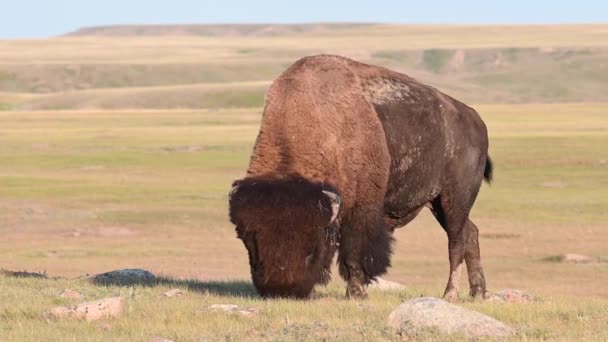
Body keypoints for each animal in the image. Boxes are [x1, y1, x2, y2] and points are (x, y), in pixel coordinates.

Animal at [230, 54, 492, 300]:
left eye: (312, 247)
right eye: (249, 240)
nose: (282, 289)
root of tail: (476, 120)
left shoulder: (360, 208)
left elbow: (354, 251)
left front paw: (356, 293)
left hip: (454, 199)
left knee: (456, 241)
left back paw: (451, 293)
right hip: (438, 204)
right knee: (471, 233)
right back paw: (478, 292)